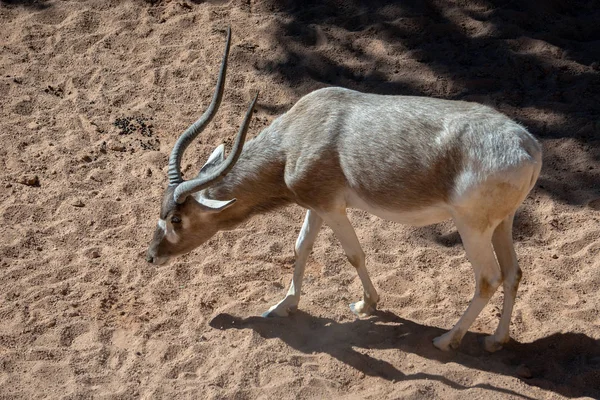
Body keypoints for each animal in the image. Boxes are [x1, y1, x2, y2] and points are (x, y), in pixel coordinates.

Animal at [148, 28, 540, 352]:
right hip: (502, 222)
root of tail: (528, 146)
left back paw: (448, 339)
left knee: (488, 278)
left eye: (178, 219)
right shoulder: (315, 205)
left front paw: (366, 304)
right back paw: (496, 340)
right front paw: (282, 306)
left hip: (471, 226)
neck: (295, 137)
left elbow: (354, 254)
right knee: (513, 273)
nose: (152, 256)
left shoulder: (332, 207)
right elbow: (301, 246)